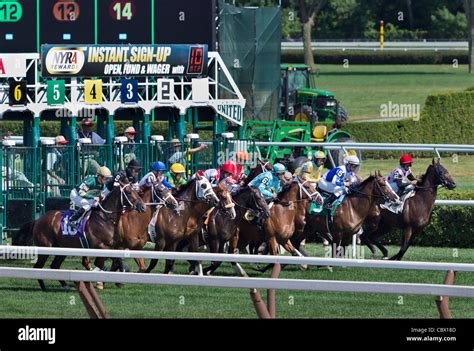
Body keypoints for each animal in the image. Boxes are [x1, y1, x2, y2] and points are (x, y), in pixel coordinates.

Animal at [15, 173, 144, 292]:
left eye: (135, 191)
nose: (142, 207)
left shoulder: (111, 246)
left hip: (62, 249)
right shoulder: (101, 246)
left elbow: (115, 259)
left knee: (54, 266)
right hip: (46, 248)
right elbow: (105, 262)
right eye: (128, 192)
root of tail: (38, 220)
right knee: (38, 267)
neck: (104, 218)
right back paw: (43, 287)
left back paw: (64, 285)